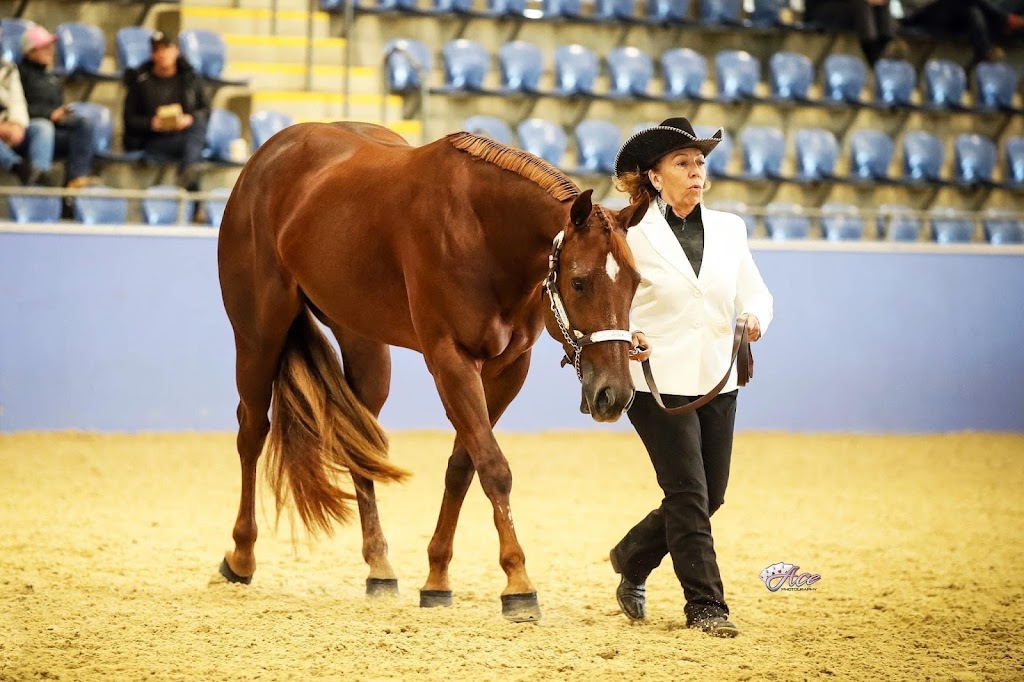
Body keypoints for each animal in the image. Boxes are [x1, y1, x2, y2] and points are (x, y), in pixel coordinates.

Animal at [216, 121, 647, 622]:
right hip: (257, 336)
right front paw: (518, 583)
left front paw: (437, 577)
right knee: (252, 432)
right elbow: (494, 467)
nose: (614, 395)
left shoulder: (508, 368)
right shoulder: (450, 359)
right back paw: (240, 557)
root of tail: (266, 157)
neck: (482, 229)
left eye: (635, 283)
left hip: (366, 348)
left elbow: (464, 465)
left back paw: (379, 568)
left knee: (360, 444)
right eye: (578, 282)